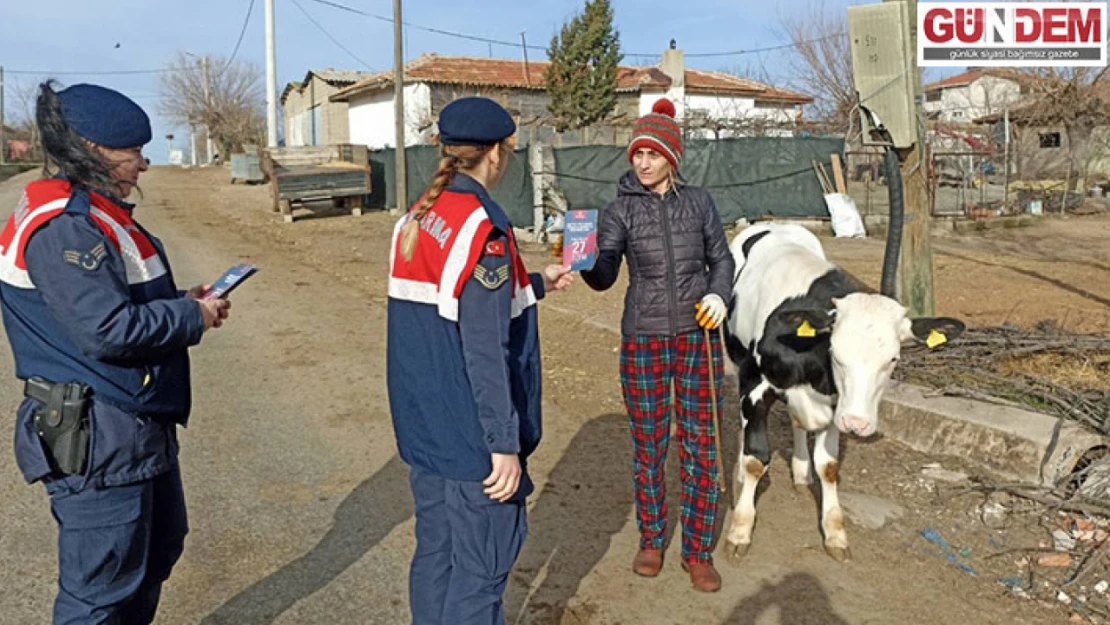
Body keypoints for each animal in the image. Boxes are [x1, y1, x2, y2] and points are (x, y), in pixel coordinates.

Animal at [719, 225, 963, 561]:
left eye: (893, 358)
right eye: (835, 352)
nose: (857, 423)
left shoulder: (837, 404)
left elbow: (829, 466)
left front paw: (835, 532)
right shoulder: (754, 383)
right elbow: (756, 458)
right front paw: (740, 529)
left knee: (798, 424)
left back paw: (801, 472)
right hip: (735, 360)